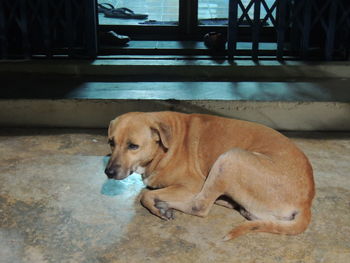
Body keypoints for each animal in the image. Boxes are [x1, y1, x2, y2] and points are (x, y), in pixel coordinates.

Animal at [104, 111, 314, 241]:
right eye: (111, 142)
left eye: (133, 146)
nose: (108, 172)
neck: (162, 148)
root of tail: (306, 203)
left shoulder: (191, 185)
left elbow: (145, 195)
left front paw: (159, 207)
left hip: (230, 157)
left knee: (200, 207)